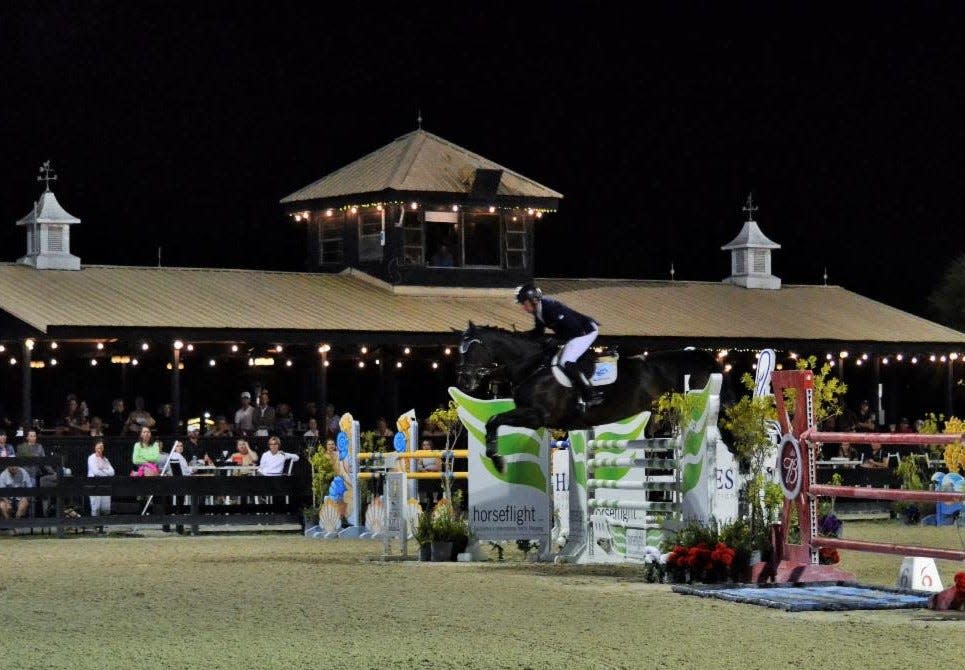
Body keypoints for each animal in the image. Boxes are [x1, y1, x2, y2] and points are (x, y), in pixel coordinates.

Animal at [456, 324, 728, 464]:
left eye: (468, 350)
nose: (464, 381)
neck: (534, 366)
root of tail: (697, 356)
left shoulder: (536, 416)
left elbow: (494, 420)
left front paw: (496, 458)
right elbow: (492, 421)